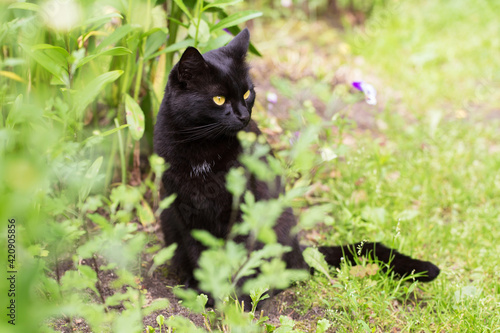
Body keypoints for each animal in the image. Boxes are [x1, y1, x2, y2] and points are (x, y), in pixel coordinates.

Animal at [154, 27, 440, 306]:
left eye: (247, 93)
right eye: (218, 99)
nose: (244, 116)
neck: (202, 150)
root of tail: (298, 247)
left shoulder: (244, 207)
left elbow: (241, 257)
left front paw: (239, 301)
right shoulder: (184, 210)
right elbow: (200, 254)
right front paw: (204, 293)